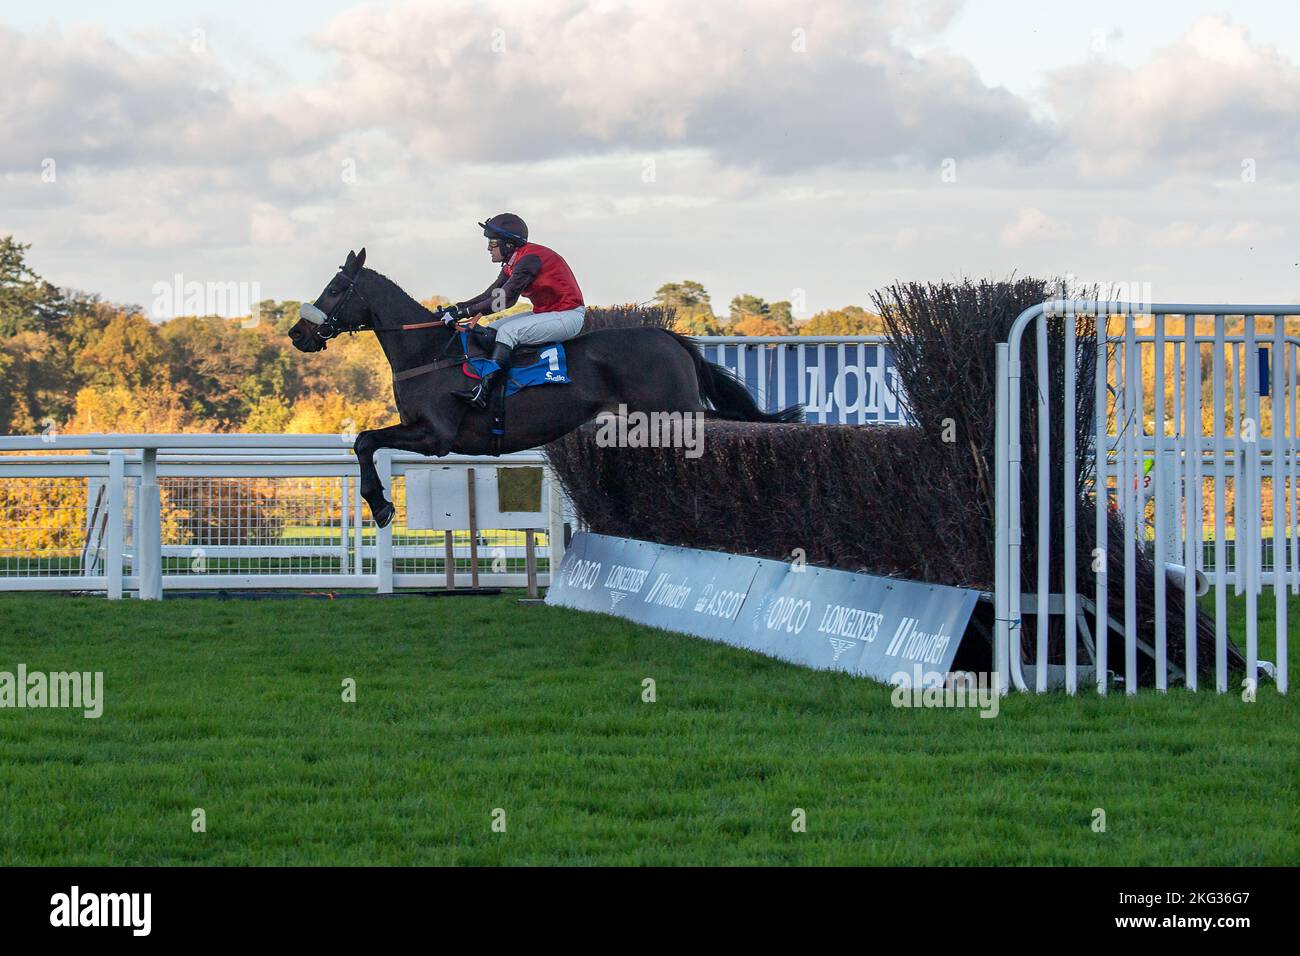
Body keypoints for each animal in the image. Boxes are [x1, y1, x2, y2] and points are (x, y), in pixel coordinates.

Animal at [287, 251, 800, 528]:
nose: (297, 333)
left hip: (678, 412)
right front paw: (379, 503)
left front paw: (380, 505)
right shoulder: (420, 429)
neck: (429, 350)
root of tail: (668, 336)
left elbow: (365, 440)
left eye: (334, 289)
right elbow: (366, 442)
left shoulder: (437, 436)